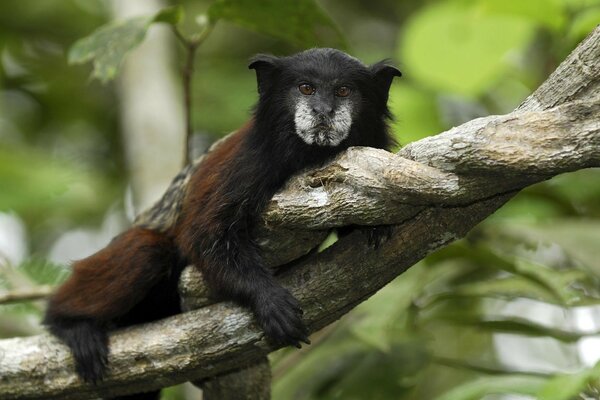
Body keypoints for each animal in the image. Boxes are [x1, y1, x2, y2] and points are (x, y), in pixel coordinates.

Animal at [42, 47, 400, 396]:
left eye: (343, 91)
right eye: (306, 88)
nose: (323, 111)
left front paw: (375, 228)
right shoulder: (247, 163)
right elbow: (202, 235)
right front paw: (267, 300)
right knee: (147, 251)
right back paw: (70, 323)